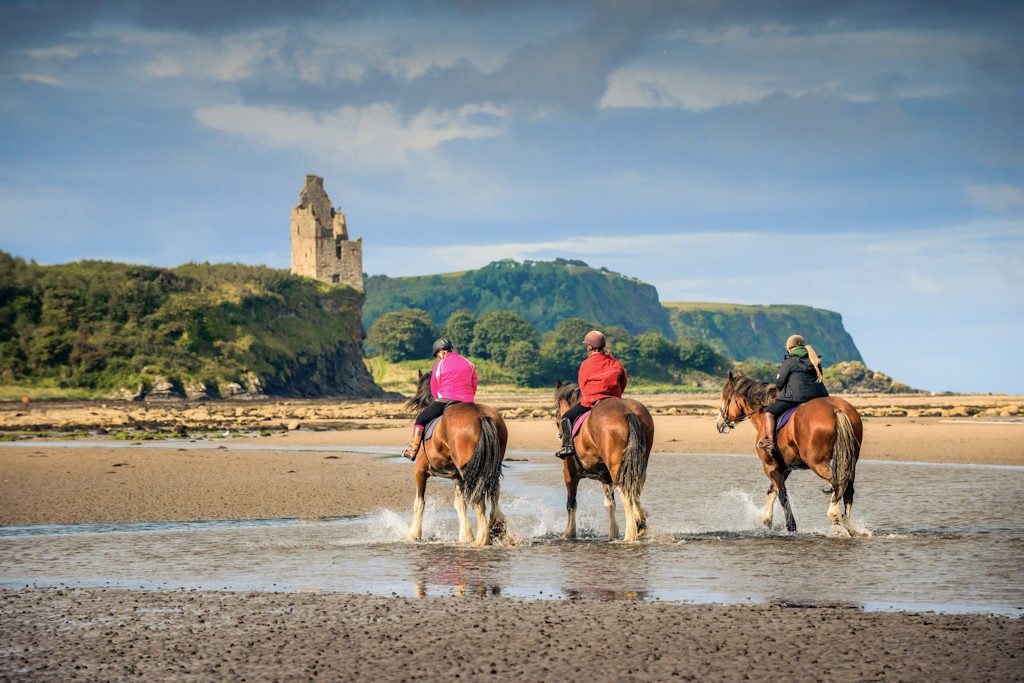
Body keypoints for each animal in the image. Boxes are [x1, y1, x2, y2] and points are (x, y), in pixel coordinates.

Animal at [403, 370, 507, 548]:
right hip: (489, 467)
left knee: (479, 499)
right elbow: (460, 504)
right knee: (494, 494)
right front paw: (465, 536)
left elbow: (419, 503)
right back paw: (496, 528)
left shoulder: (420, 470)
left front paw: (414, 534)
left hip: (470, 470)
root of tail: (482, 416)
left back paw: (483, 538)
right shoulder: (456, 477)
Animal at [552, 382, 655, 540]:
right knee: (636, 490)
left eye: (557, 411)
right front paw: (613, 533)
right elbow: (610, 504)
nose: (559, 435)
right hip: (637, 464)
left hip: (617, 468)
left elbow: (571, 503)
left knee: (626, 494)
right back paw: (639, 524)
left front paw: (569, 533)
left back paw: (630, 534)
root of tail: (627, 411)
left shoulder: (569, 474)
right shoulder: (605, 477)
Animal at [716, 370, 868, 536]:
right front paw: (766, 520)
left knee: (838, 483)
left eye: (726, 399)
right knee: (847, 489)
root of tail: (836, 409)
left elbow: (782, 495)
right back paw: (849, 526)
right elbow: (772, 490)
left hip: (818, 464)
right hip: (849, 461)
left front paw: (790, 526)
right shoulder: (785, 468)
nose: (719, 424)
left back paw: (835, 515)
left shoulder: (770, 466)